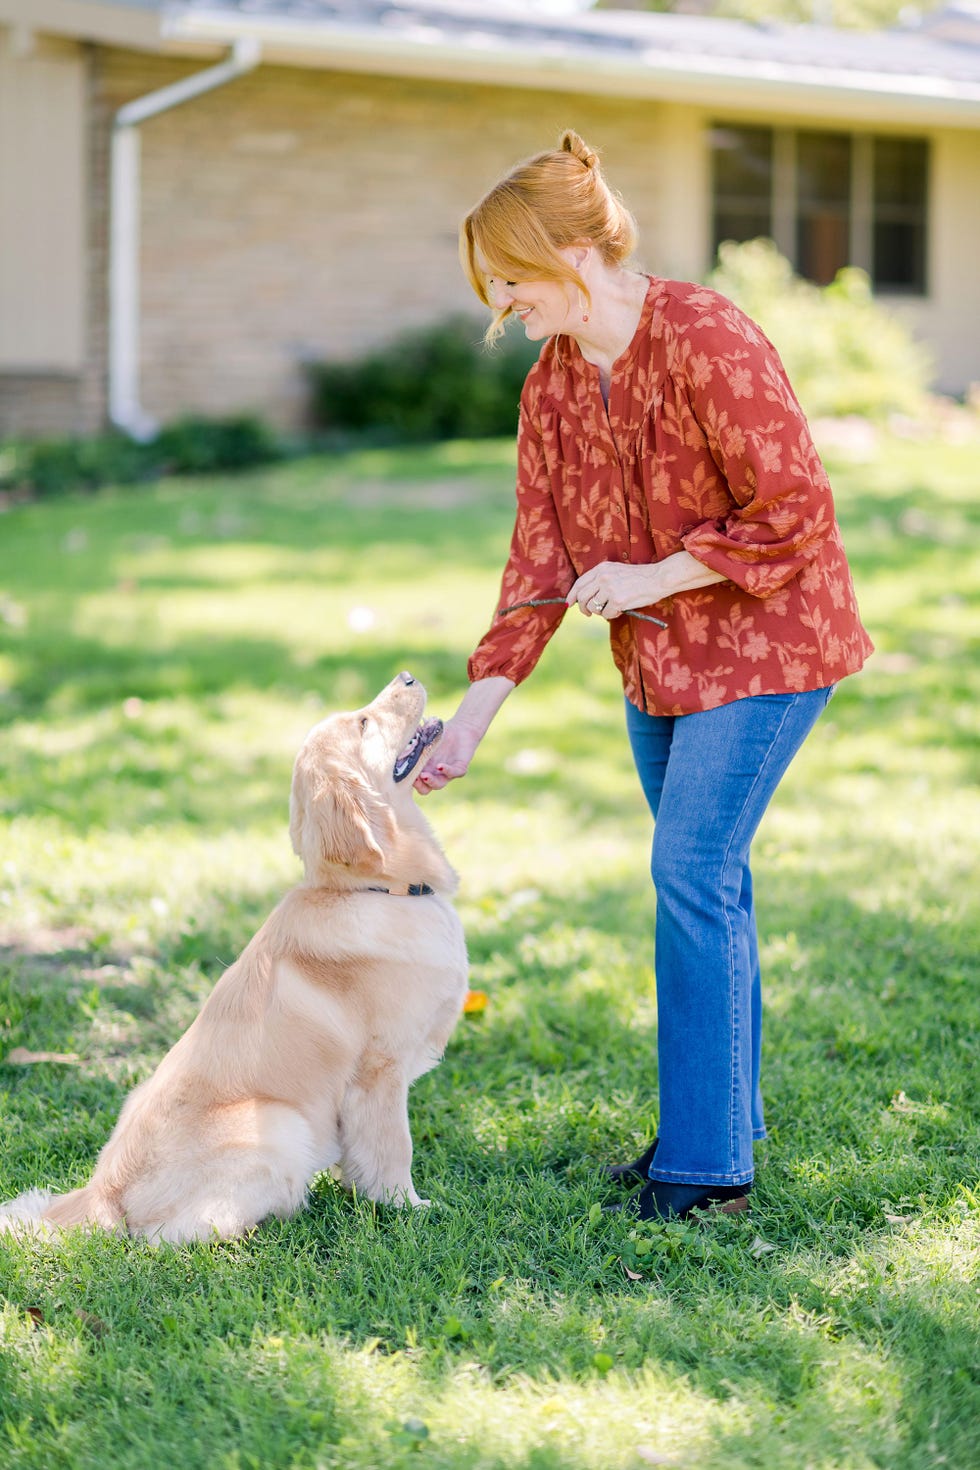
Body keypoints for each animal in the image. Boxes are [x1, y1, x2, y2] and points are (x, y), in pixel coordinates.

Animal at [0, 673, 467, 1240]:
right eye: (363, 723)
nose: (406, 676)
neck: (373, 888)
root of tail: (101, 1192)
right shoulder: (380, 1071)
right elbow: (394, 1149)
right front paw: (408, 1208)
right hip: (278, 1123)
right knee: (166, 1237)